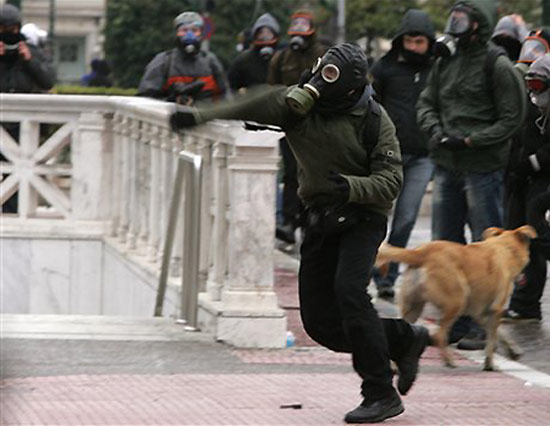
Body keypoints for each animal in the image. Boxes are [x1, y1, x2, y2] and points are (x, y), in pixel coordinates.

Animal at [378, 226, 536, 370]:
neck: (505, 248)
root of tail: (421, 252)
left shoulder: (482, 314)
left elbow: (501, 333)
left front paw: (513, 350)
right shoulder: (495, 310)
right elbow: (492, 340)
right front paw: (490, 364)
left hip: (413, 308)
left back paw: (396, 366)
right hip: (456, 301)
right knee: (439, 334)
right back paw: (449, 360)